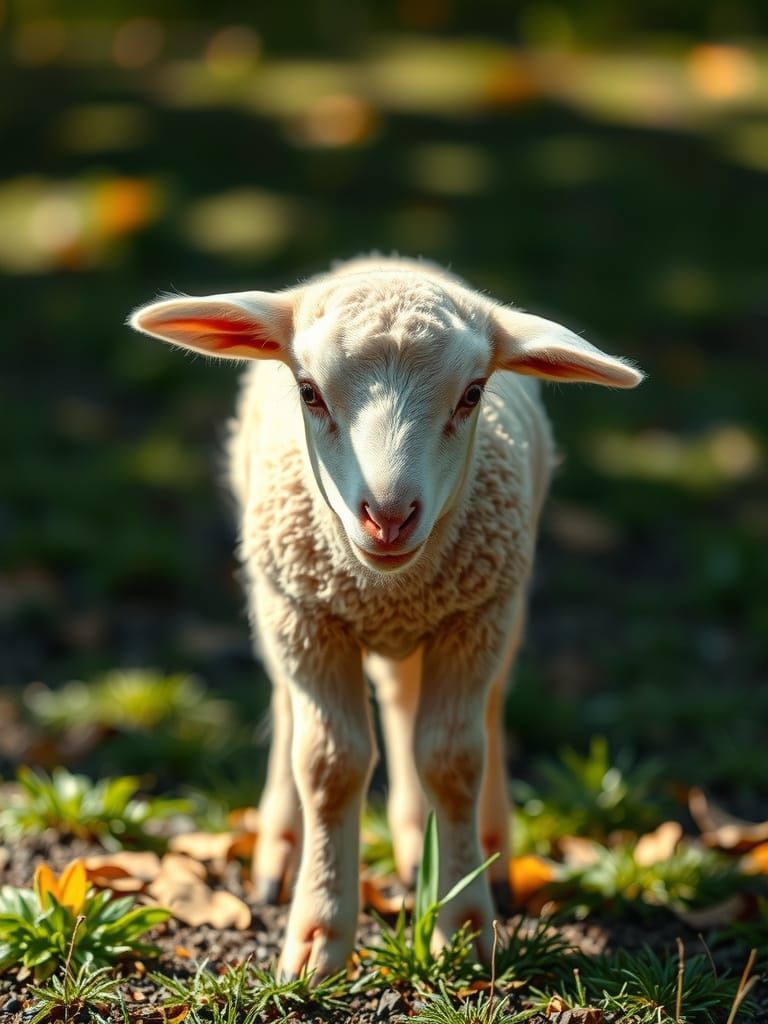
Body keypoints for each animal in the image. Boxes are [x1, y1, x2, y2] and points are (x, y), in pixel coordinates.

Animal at [130, 256, 642, 979]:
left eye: (472, 394)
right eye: (310, 392)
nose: (389, 516)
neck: (385, 587)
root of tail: (384, 261)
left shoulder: (475, 617)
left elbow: (452, 762)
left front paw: (464, 923)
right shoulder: (308, 619)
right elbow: (328, 766)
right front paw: (317, 941)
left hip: (497, 606)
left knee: (452, 709)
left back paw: (463, 845)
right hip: (277, 599)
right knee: (294, 705)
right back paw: (281, 851)